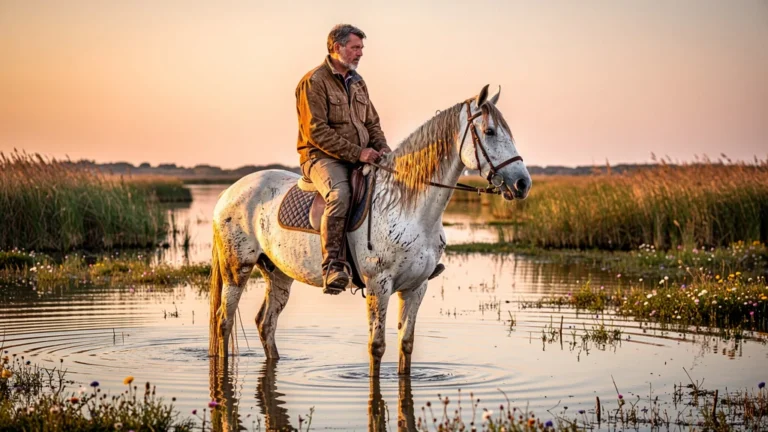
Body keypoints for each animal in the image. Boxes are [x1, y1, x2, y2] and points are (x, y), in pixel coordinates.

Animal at [209, 84, 531, 376]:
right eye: (489, 131)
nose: (522, 184)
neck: (407, 207)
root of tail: (229, 193)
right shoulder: (379, 284)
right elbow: (376, 347)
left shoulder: (417, 286)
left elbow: (406, 345)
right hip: (237, 269)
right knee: (224, 320)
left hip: (278, 273)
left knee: (266, 323)